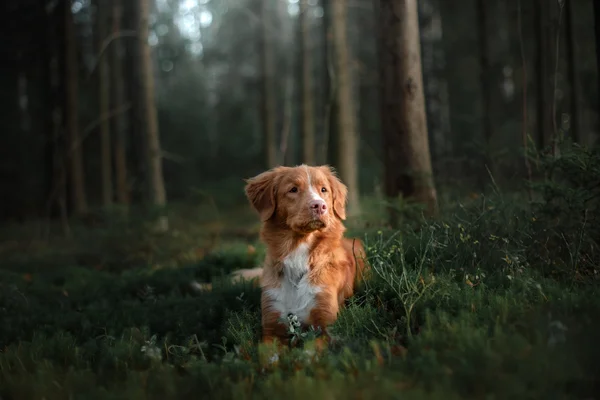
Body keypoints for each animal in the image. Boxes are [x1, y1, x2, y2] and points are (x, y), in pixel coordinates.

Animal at [243, 164, 366, 346]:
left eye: (324, 189)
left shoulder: (326, 326)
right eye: (293, 189)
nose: (320, 206)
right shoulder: (271, 328)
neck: (298, 250)